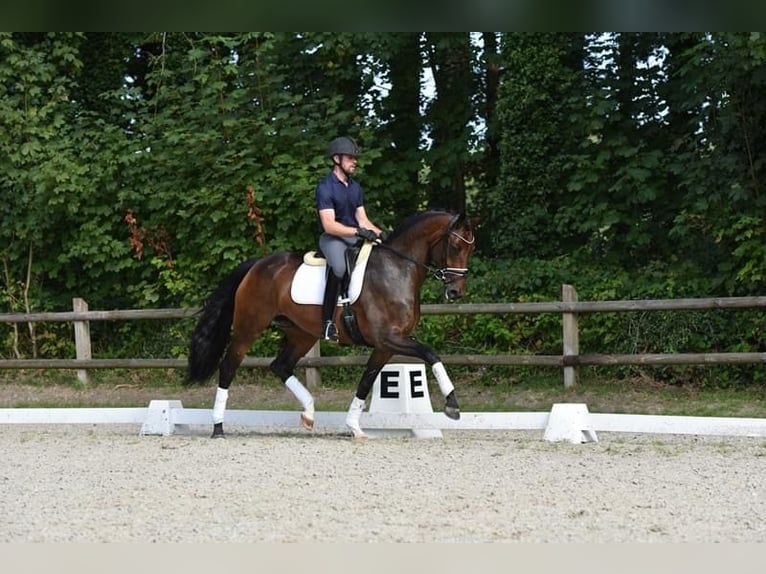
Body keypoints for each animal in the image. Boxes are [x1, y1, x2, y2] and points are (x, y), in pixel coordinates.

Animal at [186, 212, 480, 440]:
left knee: (280, 365)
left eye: (471, 249)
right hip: (250, 327)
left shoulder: (385, 346)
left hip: (302, 333)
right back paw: (218, 428)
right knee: (228, 366)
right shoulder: (388, 338)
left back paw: (308, 413)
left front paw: (354, 427)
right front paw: (452, 404)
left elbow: (366, 380)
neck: (397, 269)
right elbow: (431, 353)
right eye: (455, 245)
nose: (456, 292)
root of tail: (257, 265)